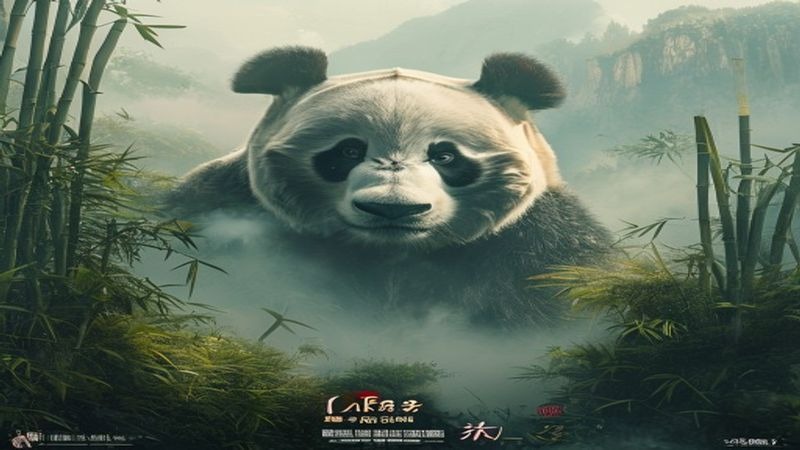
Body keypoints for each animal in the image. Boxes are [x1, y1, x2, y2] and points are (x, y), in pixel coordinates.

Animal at [166, 46, 610, 327]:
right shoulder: (228, 205)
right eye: (347, 151)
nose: (392, 209)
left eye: (445, 157)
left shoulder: (535, 244)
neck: (390, 255)